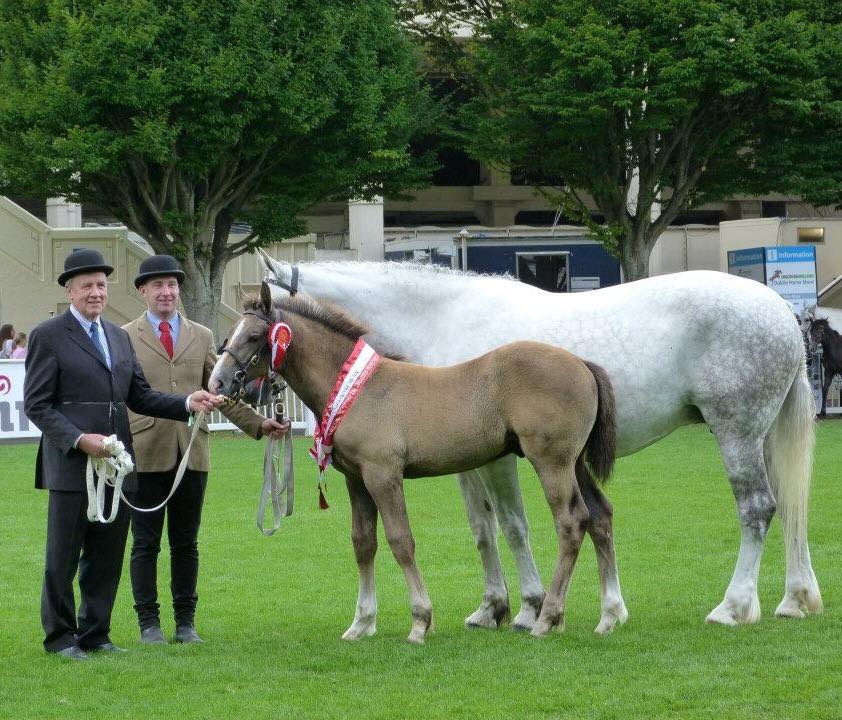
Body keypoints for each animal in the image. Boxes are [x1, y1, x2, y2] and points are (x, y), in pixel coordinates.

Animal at [208, 284, 616, 644]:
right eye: (232, 334)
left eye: (255, 336)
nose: (218, 383)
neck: (358, 389)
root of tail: (581, 364)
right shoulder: (356, 479)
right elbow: (363, 543)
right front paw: (361, 623)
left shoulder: (383, 476)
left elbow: (401, 541)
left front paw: (420, 622)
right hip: (575, 465)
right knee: (599, 516)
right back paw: (608, 617)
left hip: (551, 464)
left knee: (571, 523)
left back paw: (547, 618)